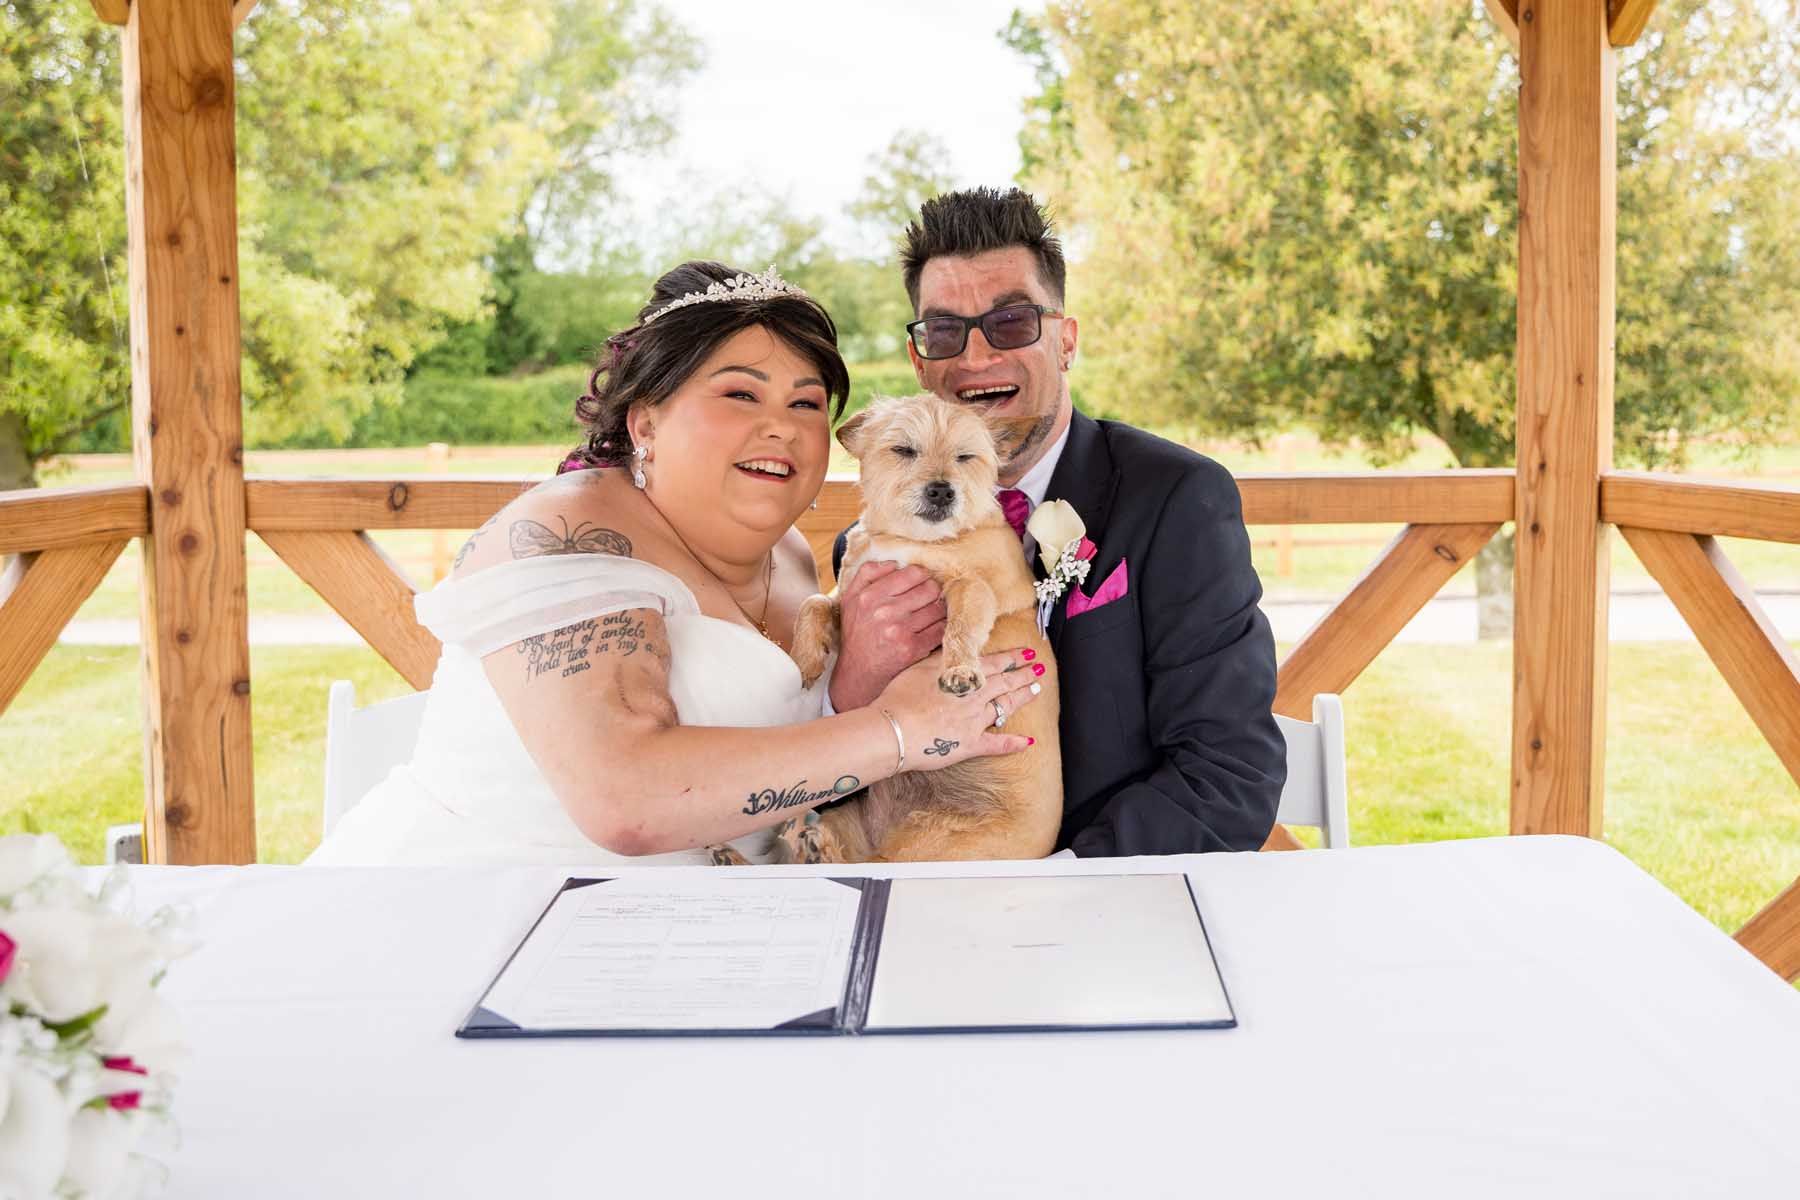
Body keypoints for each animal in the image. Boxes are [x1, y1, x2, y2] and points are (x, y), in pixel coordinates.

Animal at [778, 393, 1063, 863]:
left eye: (965, 457)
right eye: (904, 450)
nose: (942, 489)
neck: (912, 540)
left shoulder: (971, 588)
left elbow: (960, 625)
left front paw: (959, 670)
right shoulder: (850, 598)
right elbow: (813, 604)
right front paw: (803, 663)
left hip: (925, 850)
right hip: (849, 821)